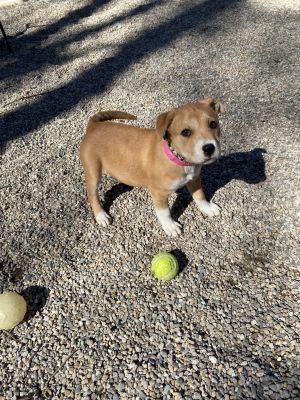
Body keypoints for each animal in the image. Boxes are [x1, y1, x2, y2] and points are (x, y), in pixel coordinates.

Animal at [80, 99, 225, 236]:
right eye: (186, 132)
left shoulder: (194, 179)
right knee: (92, 194)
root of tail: (94, 126)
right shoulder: (158, 192)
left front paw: (207, 208)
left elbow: (200, 195)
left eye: (213, 124)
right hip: (93, 171)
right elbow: (164, 212)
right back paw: (101, 216)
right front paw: (170, 226)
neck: (178, 159)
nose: (209, 148)